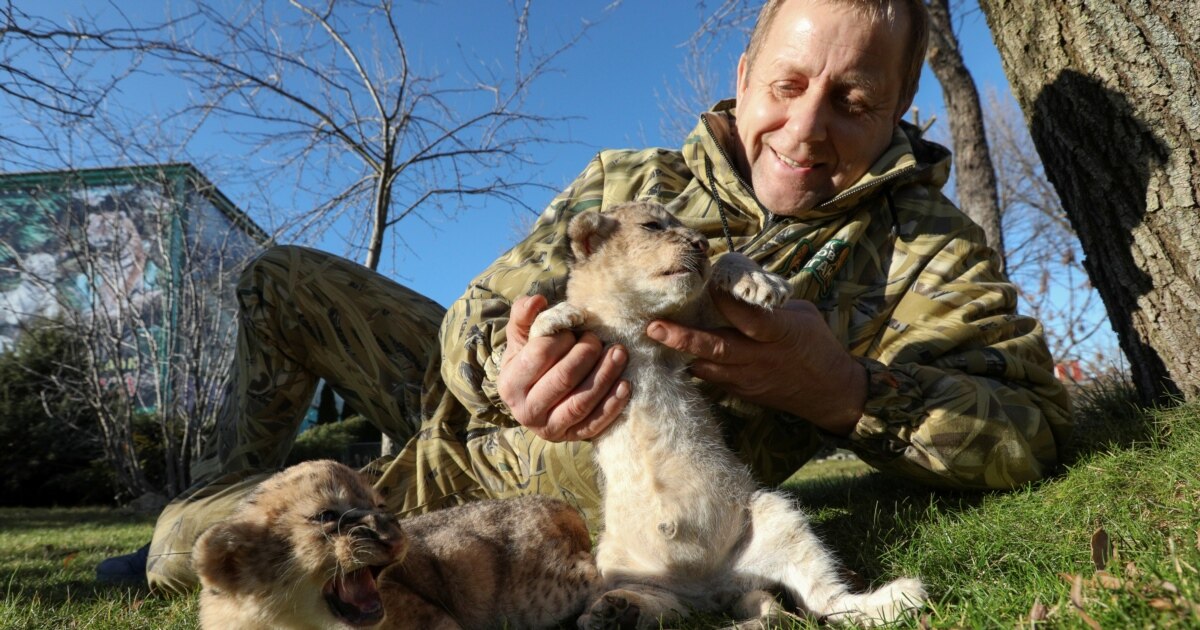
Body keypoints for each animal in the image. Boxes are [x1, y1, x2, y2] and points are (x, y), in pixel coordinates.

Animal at [193, 460, 601, 629]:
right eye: (326, 515)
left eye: (381, 506)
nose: (393, 534)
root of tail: (555, 503)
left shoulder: (433, 619)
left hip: (529, 599)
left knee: (595, 567)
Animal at [529, 201, 927, 628]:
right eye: (652, 226)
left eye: (690, 230)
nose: (701, 243)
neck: (633, 323)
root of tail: (712, 591)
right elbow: (543, 330)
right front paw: (558, 315)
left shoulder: (704, 325)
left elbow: (727, 262)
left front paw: (759, 281)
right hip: (617, 566)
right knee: (665, 608)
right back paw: (614, 611)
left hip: (777, 519)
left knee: (826, 603)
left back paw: (898, 598)